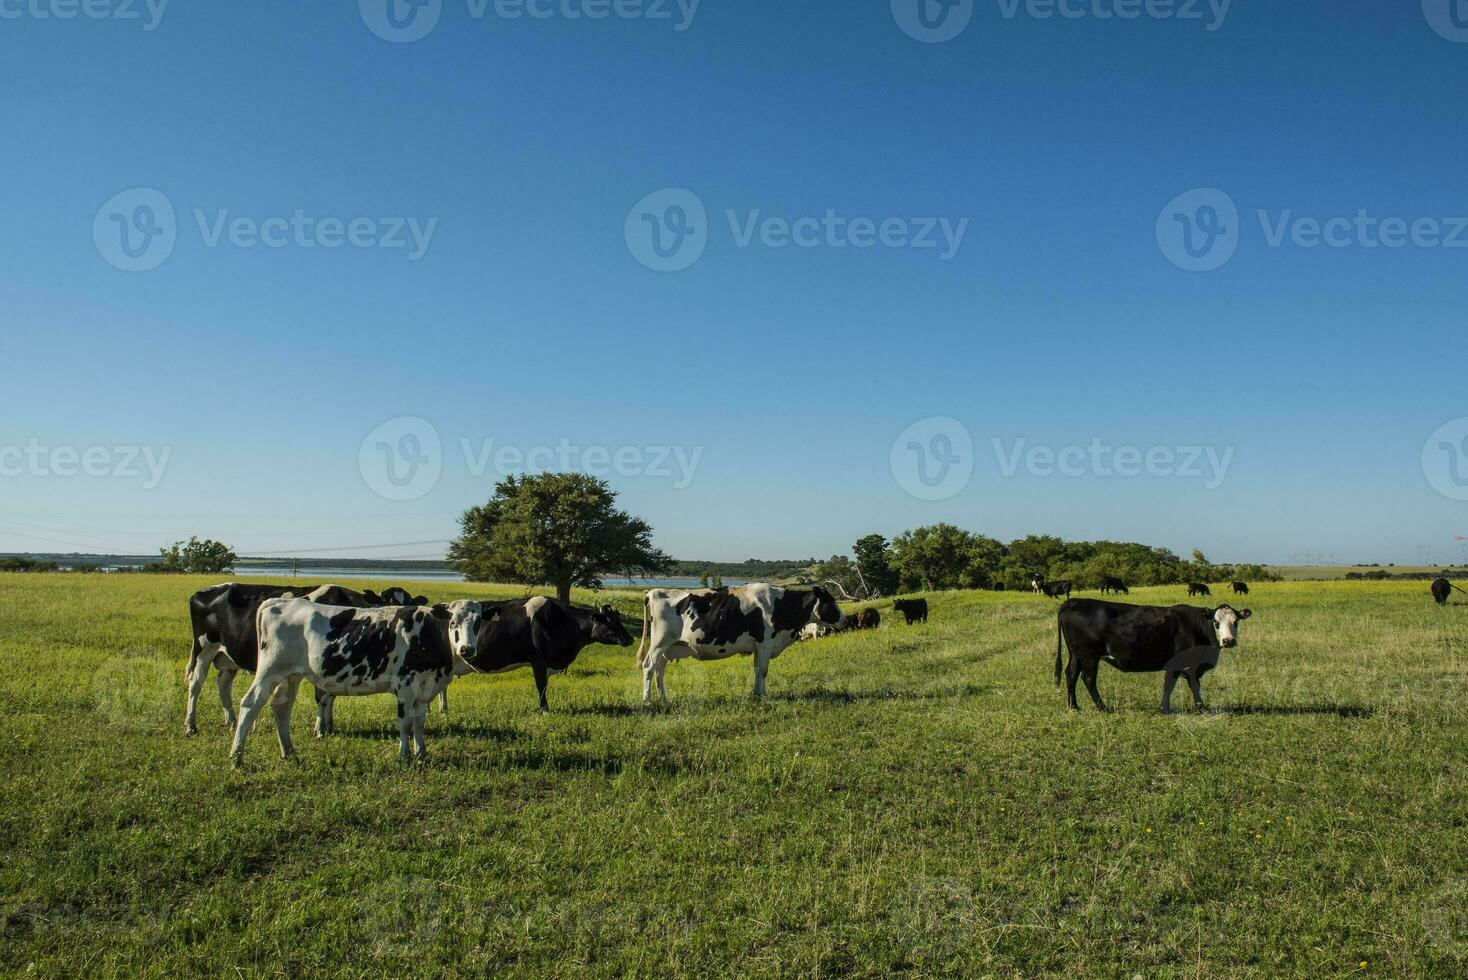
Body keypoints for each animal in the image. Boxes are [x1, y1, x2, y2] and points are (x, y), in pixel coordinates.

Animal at [226, 598, 484, 762]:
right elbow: (405, 724)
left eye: (478, 623)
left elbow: (419, 723)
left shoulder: (425, 687)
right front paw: (405, 757)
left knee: (281, 707)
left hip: (291, 675)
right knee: (250, 704)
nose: (467, 649)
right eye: (453, 622)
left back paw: (289, 752)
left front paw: (422, 754)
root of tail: (278, 602)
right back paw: (236, 757)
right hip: (269, 670)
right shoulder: (404, 687)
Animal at [460, 592, 634, 707]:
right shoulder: (538, 660)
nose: (630, 639)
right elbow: (541, 685)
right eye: (610, 621)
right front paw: (544, 710)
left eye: (618, 619)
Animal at [637, 580, 845, 704]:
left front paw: (756, 694)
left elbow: (757, 670)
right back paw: (648, 702)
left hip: (670, 647)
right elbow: (763, 671)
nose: (844, 620)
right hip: (659, 643)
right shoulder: (765, 643)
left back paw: (664, 700)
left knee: (659, 671)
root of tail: (654, 592)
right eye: (831, 601)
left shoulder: (758, 646)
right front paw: (762, 695)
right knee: (649, 667)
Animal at [1056, 598, 1250, 712]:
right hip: (1089, 656)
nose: (1228, 641)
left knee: (1071, 674)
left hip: (1076, 655)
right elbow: (1183, 685)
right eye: (1216, 622)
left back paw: (1074, 706)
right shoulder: (1184, 665)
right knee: (1088, 678)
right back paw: (1103, 707)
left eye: (1236, 621)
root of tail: (1072, 602)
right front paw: (1195, 708)